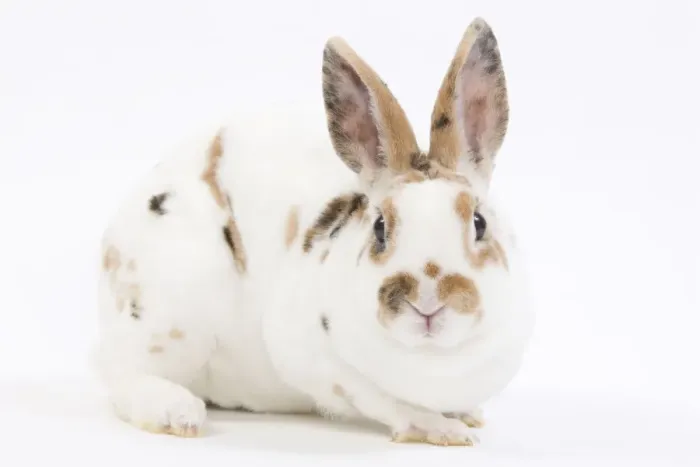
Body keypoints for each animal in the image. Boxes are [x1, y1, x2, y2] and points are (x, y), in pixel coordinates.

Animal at [94, 17, 535, 446]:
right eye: (380, 227)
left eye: (479, 223)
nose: (427, 300)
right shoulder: (319, 362)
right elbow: (385, 402)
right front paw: (443, 430)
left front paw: (467, 416)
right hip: (169, 314)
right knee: (124, 375)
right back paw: (179, 413)